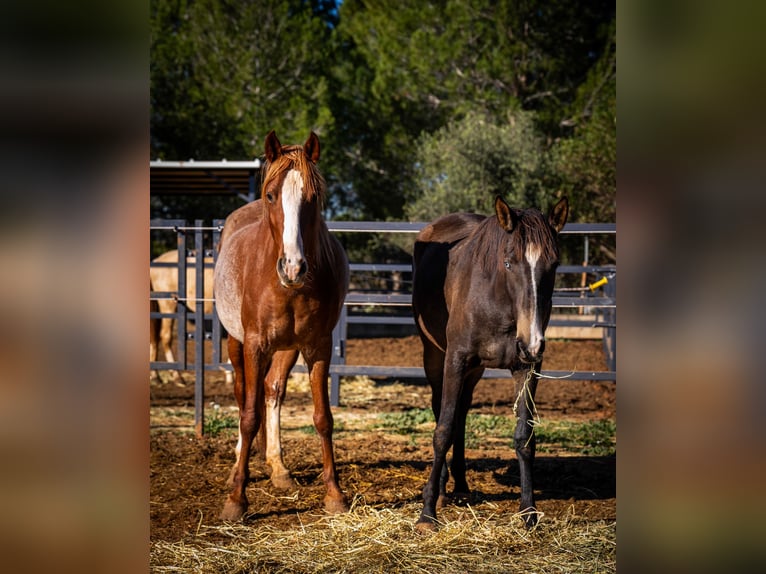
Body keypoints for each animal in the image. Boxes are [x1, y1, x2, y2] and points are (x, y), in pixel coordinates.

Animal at [214, 130, 350, 521]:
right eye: (272, 195)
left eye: (314, 198)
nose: (292, 267)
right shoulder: (254, 344)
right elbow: (248, 415)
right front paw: (237, 498)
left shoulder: (317, 346)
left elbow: (322, 417)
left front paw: (334, 493)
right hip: (236, 343)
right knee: (244, 394)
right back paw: (238, 467)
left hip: (287, 348)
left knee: (272, 390)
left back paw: (277, 468)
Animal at [411, 195, 568, 531]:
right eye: (509, 262)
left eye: (554, 264)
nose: (532, 342)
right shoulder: (455, 360)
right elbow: (442, 430)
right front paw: (427, 513)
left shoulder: (526, 368)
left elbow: (524, 437)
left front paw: (529, 511)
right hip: (435, 357)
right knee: (442, 410)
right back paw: (442, 489)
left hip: (476, 370)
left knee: (462, 412)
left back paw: (460, 485)